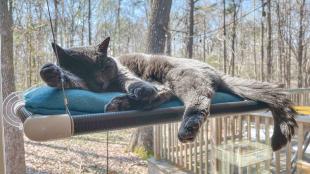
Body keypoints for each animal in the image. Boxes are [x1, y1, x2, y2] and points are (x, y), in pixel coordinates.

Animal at [40, 37, 296, 151]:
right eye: (86, 70)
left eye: (104, 66)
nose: (102, 83)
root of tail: (215, 70)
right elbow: (72, 81)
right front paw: (52, 73)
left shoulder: (123, 72)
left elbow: (130, 80)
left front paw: (138, 89)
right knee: (164, 94)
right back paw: (122, 103)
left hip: (178, 75)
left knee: (198, 97)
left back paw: (185, 124)